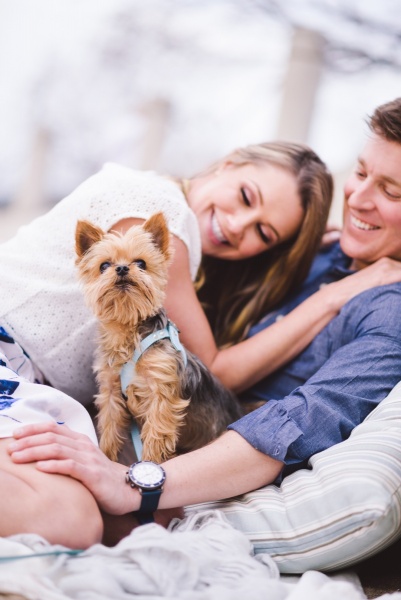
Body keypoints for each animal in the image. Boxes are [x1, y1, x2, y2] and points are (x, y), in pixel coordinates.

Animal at [74, 213, 241, 462]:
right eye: (104, 265)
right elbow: (110, 428)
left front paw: (149, 463)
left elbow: (156, 434)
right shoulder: (111, 391)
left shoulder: (160, 394)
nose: (122, 268)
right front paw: (106, 456)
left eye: (141, 263)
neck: (129, 332)